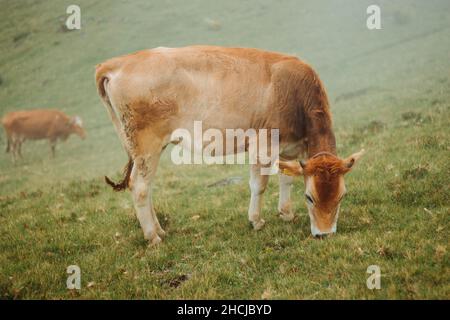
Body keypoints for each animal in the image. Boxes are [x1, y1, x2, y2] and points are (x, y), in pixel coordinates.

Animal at [96, 45, 366, 245]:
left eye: (341, 196)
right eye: (310, 198)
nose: (324, 234)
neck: (294, 93)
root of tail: (118, 62)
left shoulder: (293, 148)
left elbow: (286, 179)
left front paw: (286, 213)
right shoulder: (263, 145)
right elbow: (259, 185)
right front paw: (256, 221)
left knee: (146, 187)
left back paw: (159, 230)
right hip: (146, 145)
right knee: (140, 187)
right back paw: (153, 237)